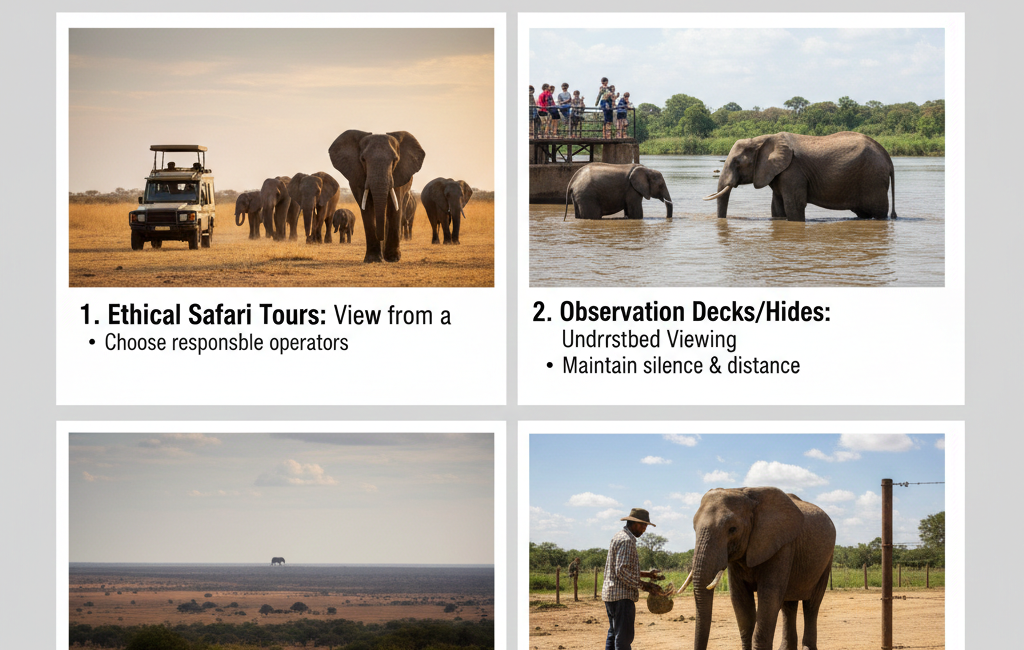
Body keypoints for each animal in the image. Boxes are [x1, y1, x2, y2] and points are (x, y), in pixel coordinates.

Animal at [328, 130, 425, 263]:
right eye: (363, 159)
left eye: (395, 160)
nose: (381, 237)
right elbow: (367, 208)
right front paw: (373, 259)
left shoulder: (398, 174)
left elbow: (395, 208)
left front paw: (393, 258)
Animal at [681, 487, 835, 650]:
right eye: (694, 528)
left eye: (732, 529)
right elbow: (740, 600)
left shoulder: (782, 545)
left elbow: (769, 597)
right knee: (788, 605)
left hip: (827, 559)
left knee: (811, 605)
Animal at [705, 131, 897, 221]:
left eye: (737, 162)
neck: (764, 139)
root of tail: (888, 158)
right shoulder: (778, 173)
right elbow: (777, 208)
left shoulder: (793, 172)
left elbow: (794, 207)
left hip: (873, 179)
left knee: (878, 212)